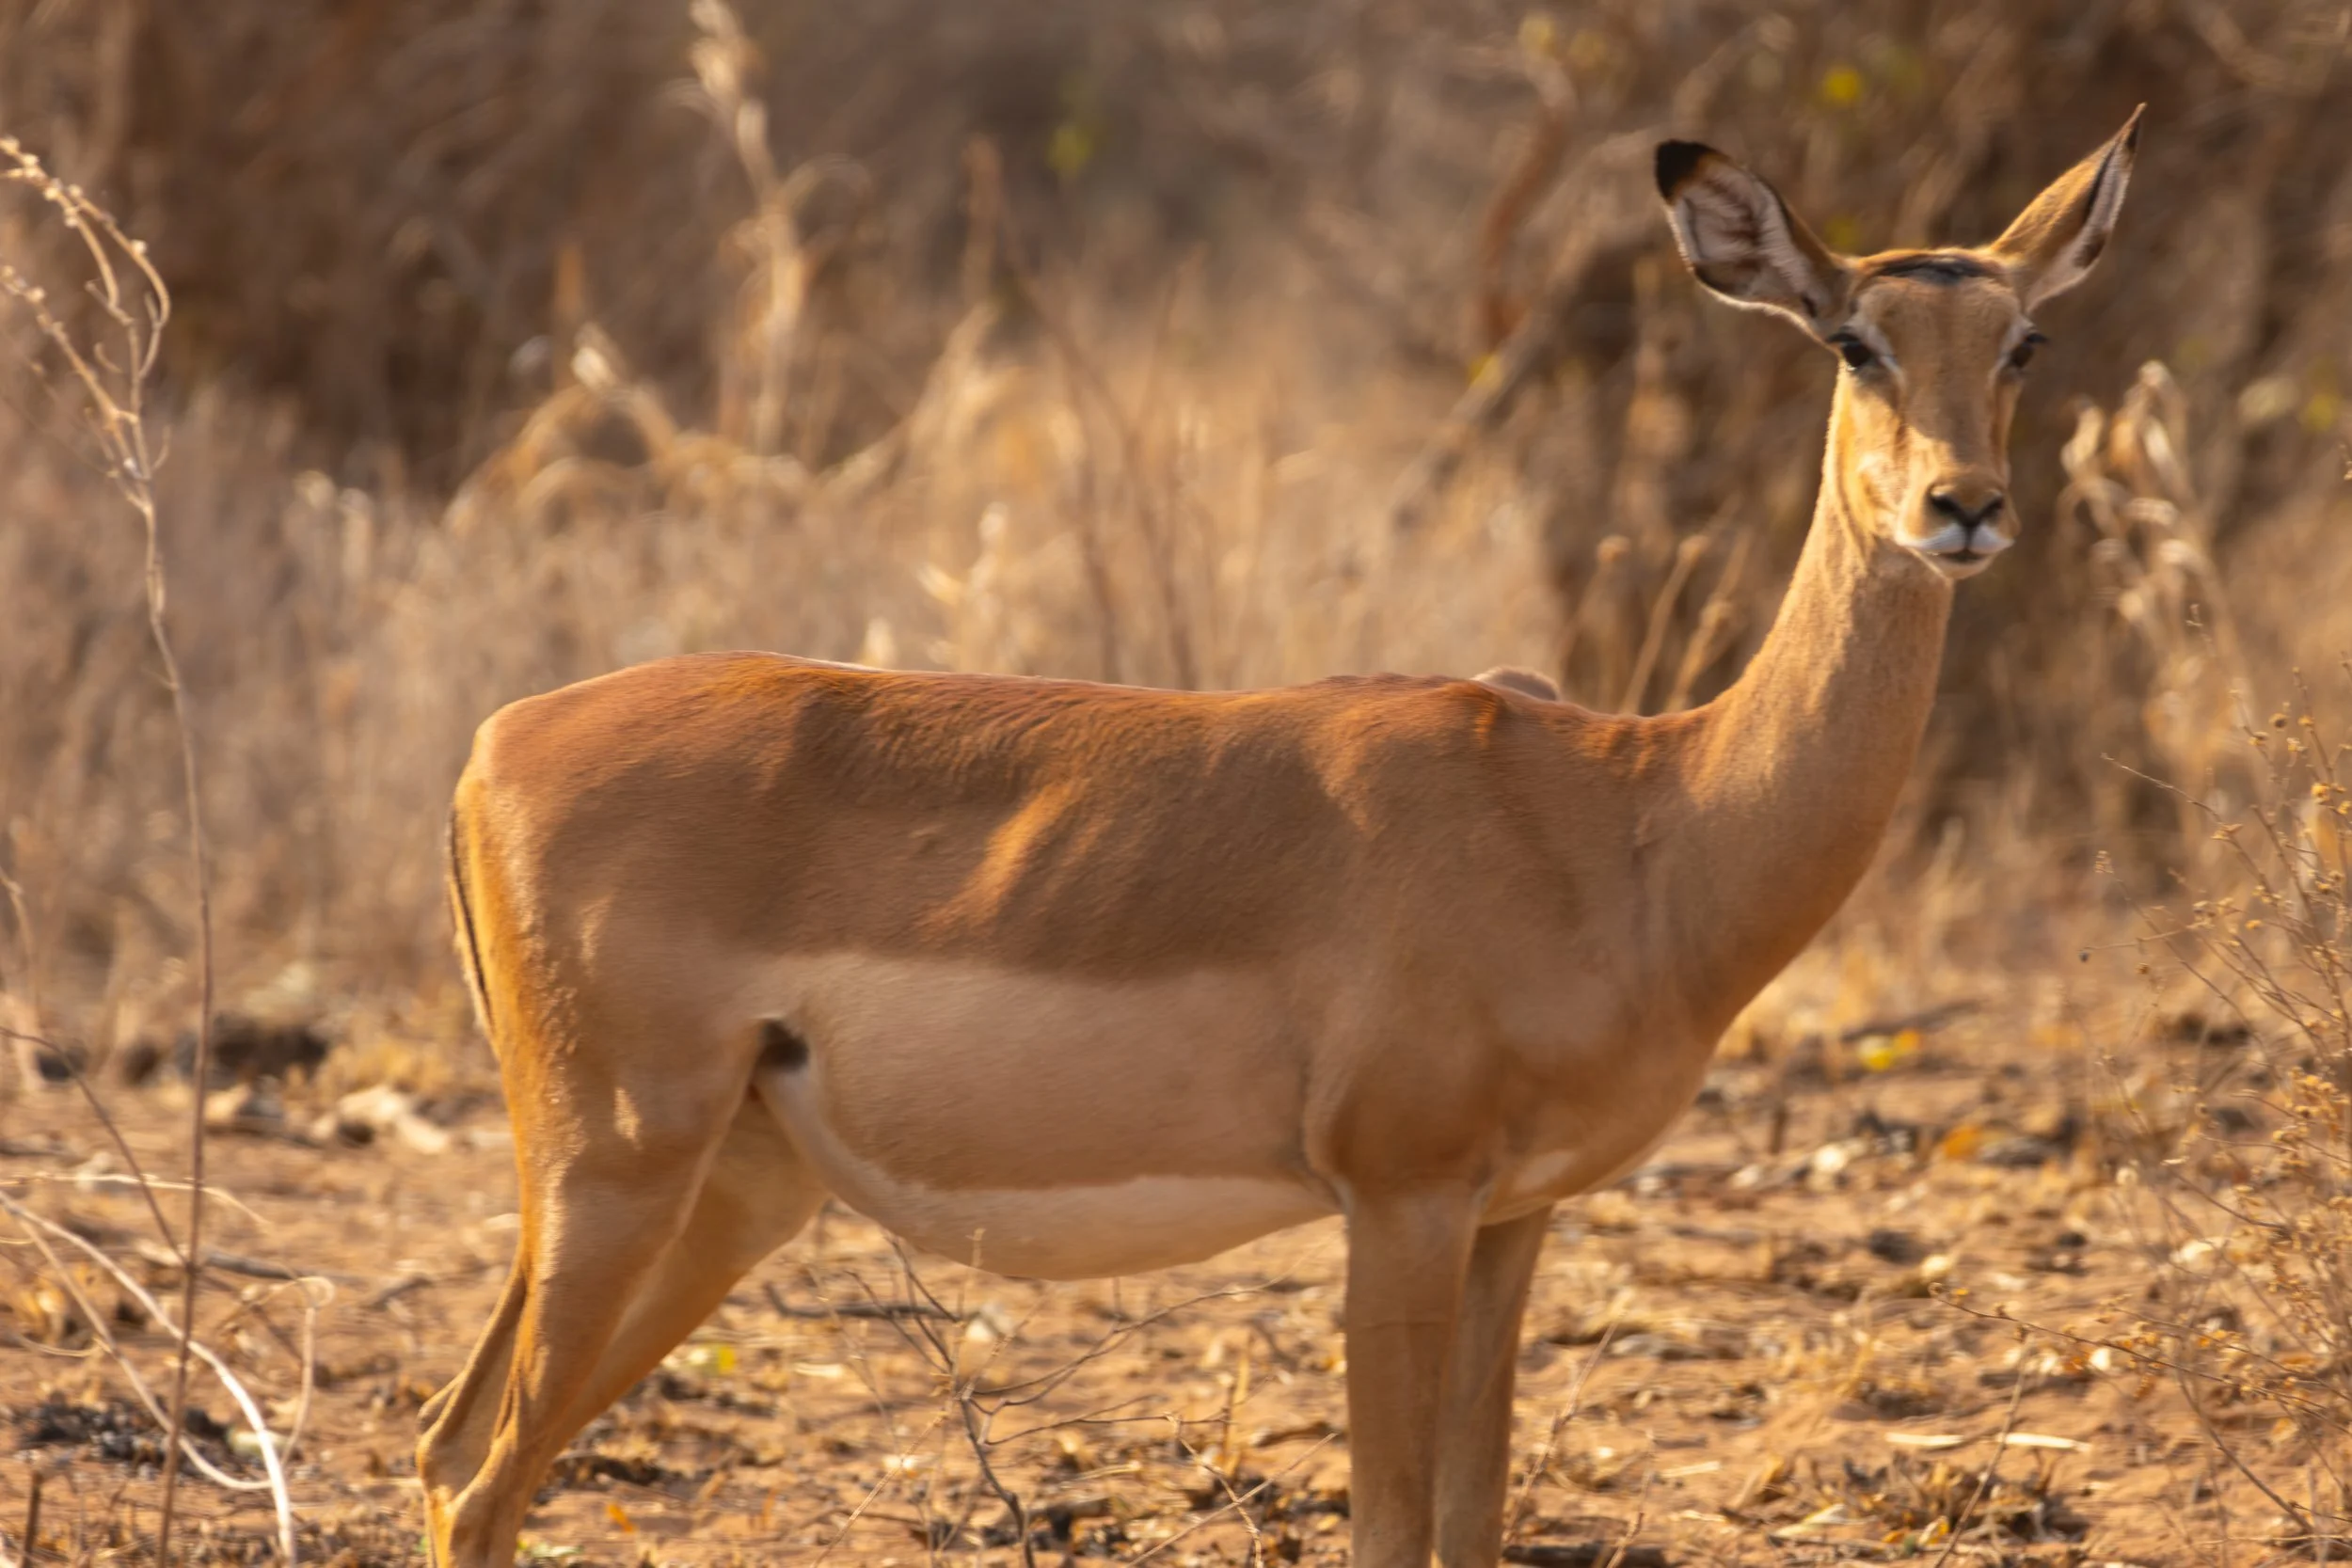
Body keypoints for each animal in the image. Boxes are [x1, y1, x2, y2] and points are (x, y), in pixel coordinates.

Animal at [418, 112, 2141, 1567]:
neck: (1637, 819)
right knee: (479, 1470)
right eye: (1855, 340)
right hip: (613, 1167)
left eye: (2024, 340)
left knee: (458, 1445)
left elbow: (1475, 1522)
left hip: (728, 1187)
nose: (1963, 507)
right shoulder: (1400, 1198)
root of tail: (493, 741)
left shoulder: (1515, 1216)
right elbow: (1389, 1529)